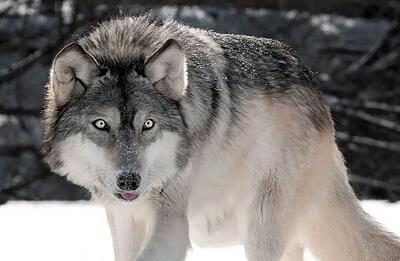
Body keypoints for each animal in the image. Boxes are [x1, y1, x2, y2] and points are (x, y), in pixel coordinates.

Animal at [43, 15, 400, 260]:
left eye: (149, 125)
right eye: (101, 124)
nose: (130, 181)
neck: (125, 48)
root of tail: (319, 97)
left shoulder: (172, 221)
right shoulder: (123, 219)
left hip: (258, 226)